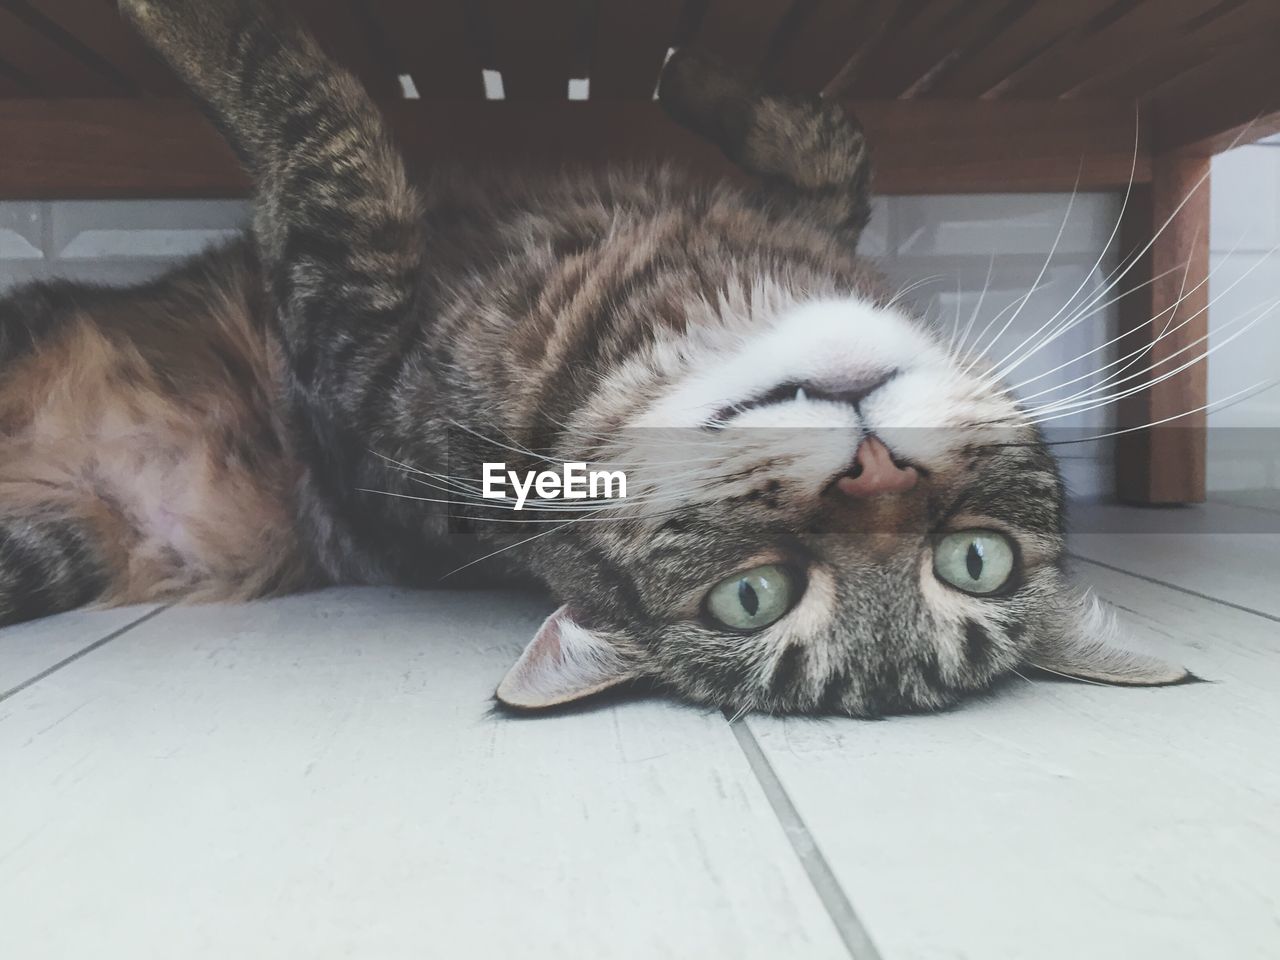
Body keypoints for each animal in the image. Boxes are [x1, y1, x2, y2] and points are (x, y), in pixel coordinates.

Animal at [0, 0, 1187, 716]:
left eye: (748, 599)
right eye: (979, 560)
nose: (876, 472)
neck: (700, 297)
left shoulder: (348, 344)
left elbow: (329, 134)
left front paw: (187, 24)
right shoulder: (808, 213)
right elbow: (837, 138)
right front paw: (691, 70)